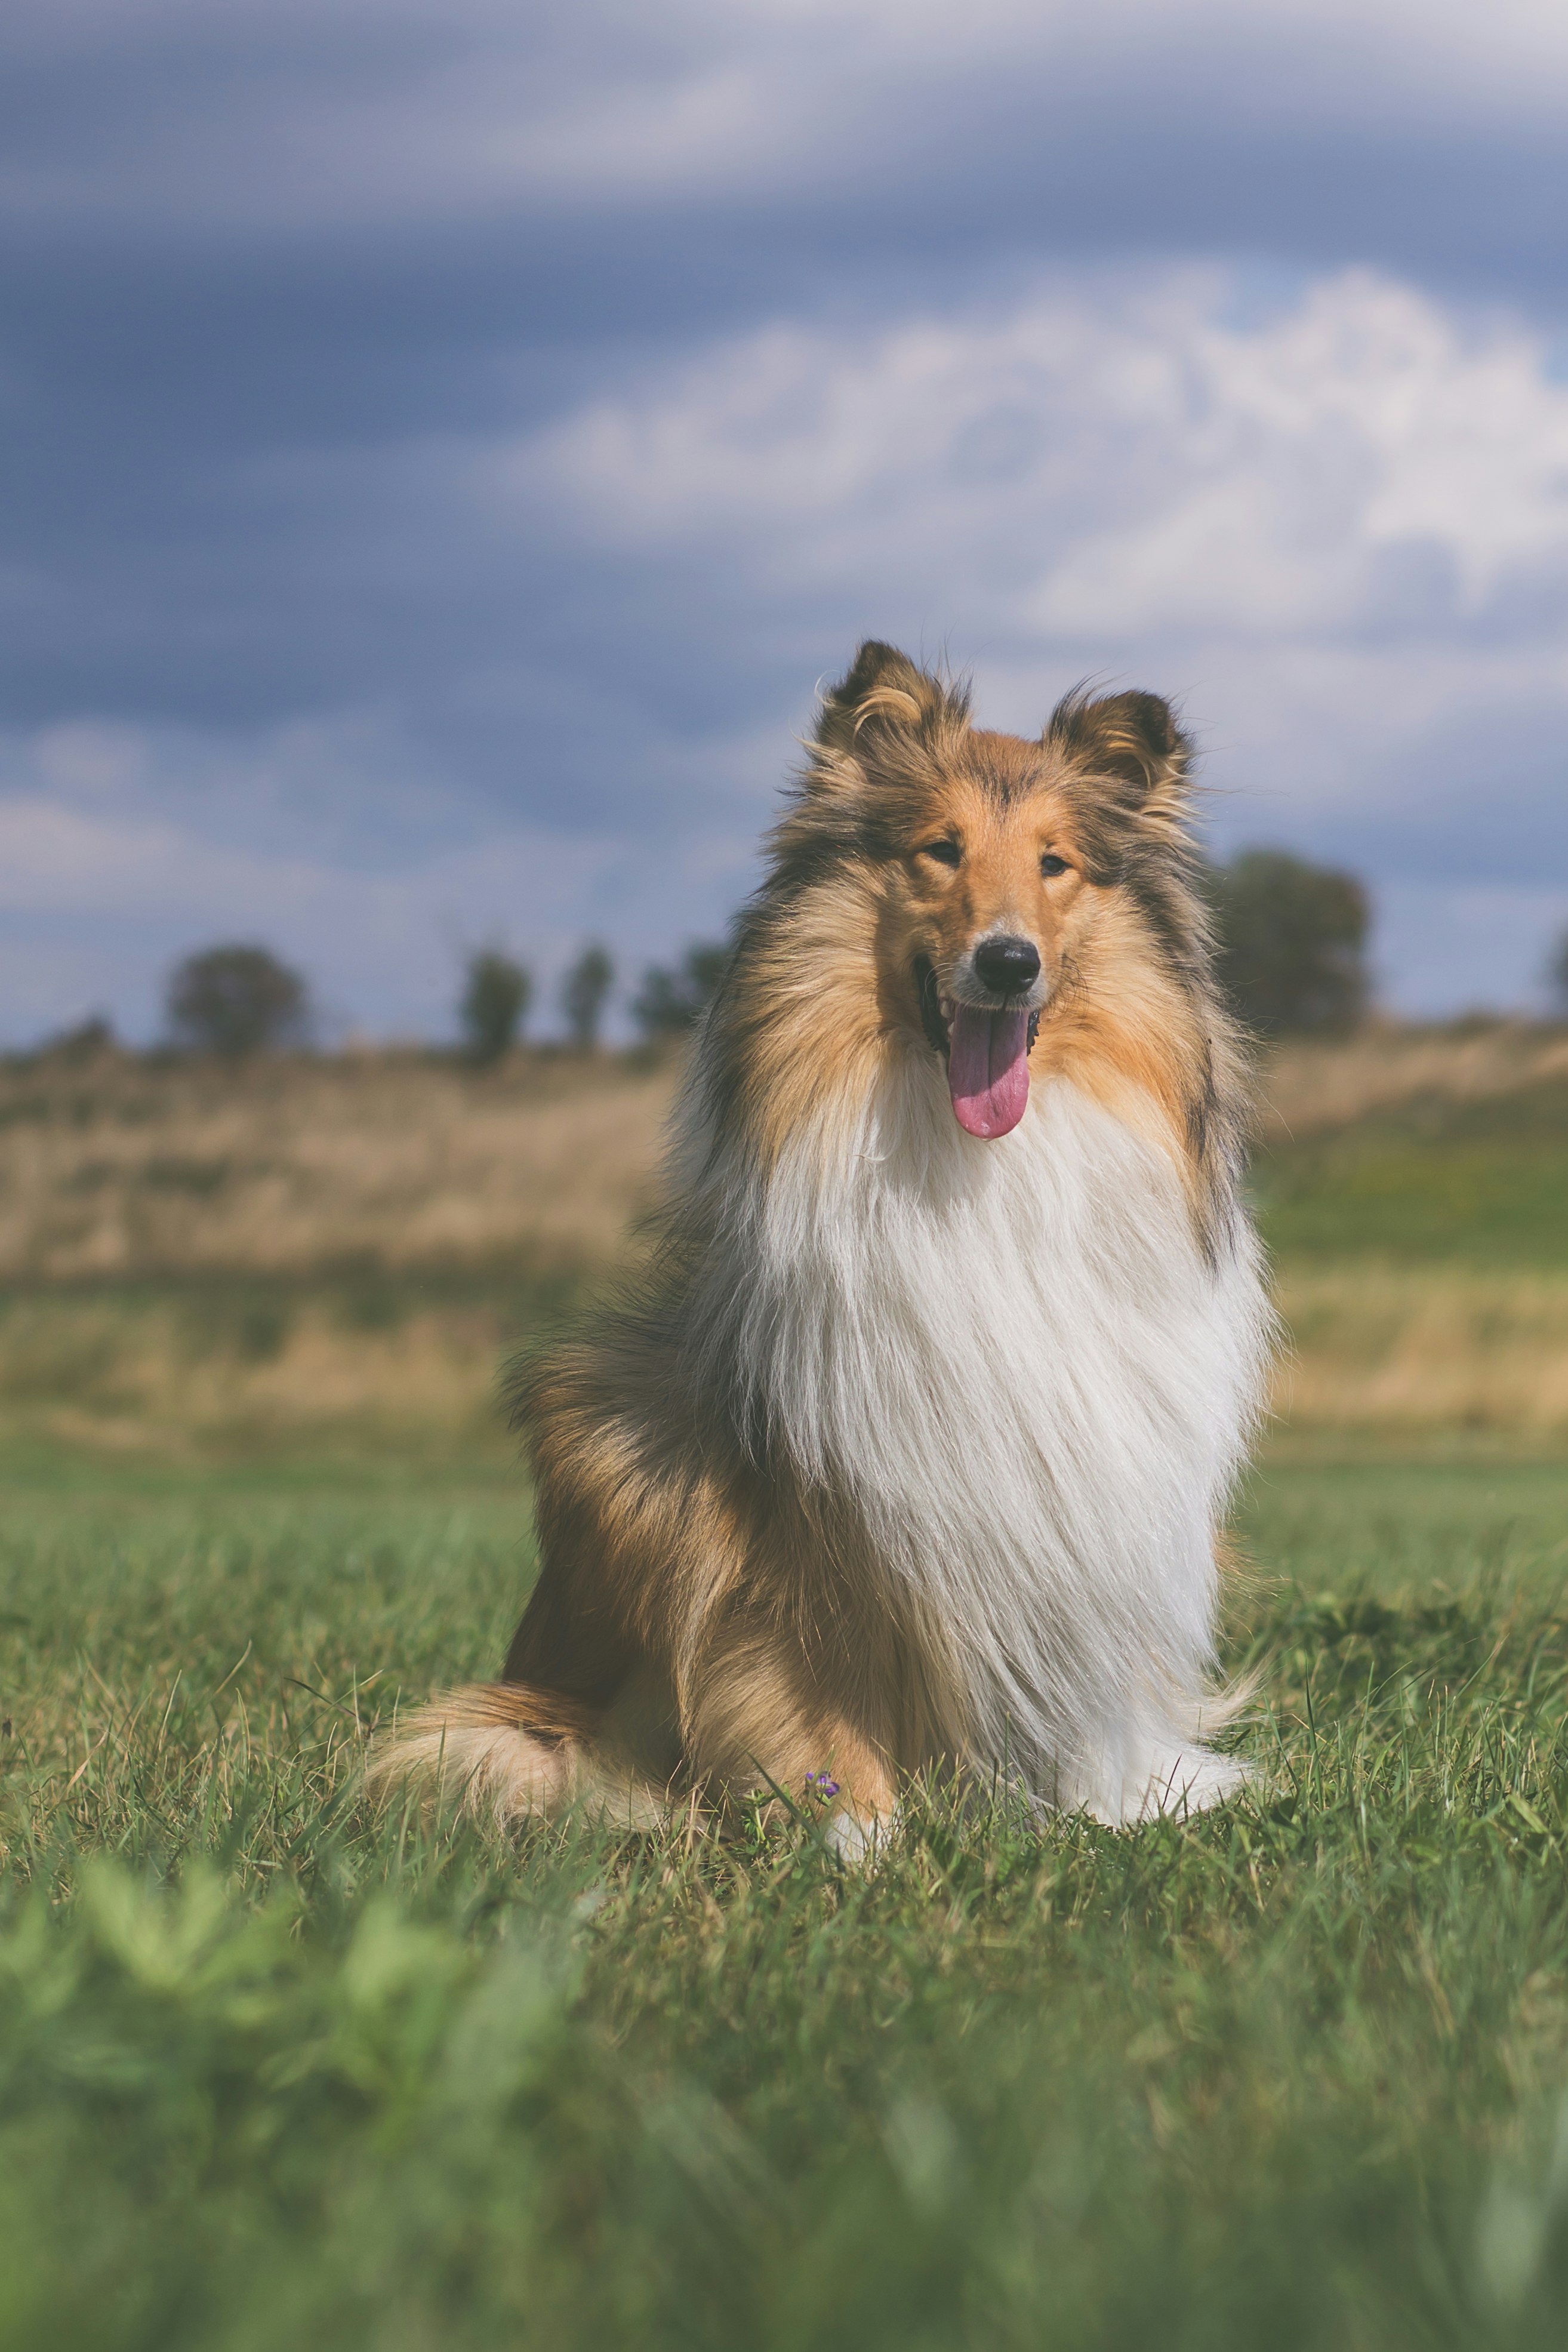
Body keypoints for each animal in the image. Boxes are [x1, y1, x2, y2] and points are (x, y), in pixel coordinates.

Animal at [371, 649, 1279, 1853]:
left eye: (1056, 864)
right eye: (938, 849)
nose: (1006, 962)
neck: (977, 1164)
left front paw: (1111, 1811)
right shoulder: (805, 1515)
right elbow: (812, 1689)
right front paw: (862, 1843)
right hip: (594, 1469)